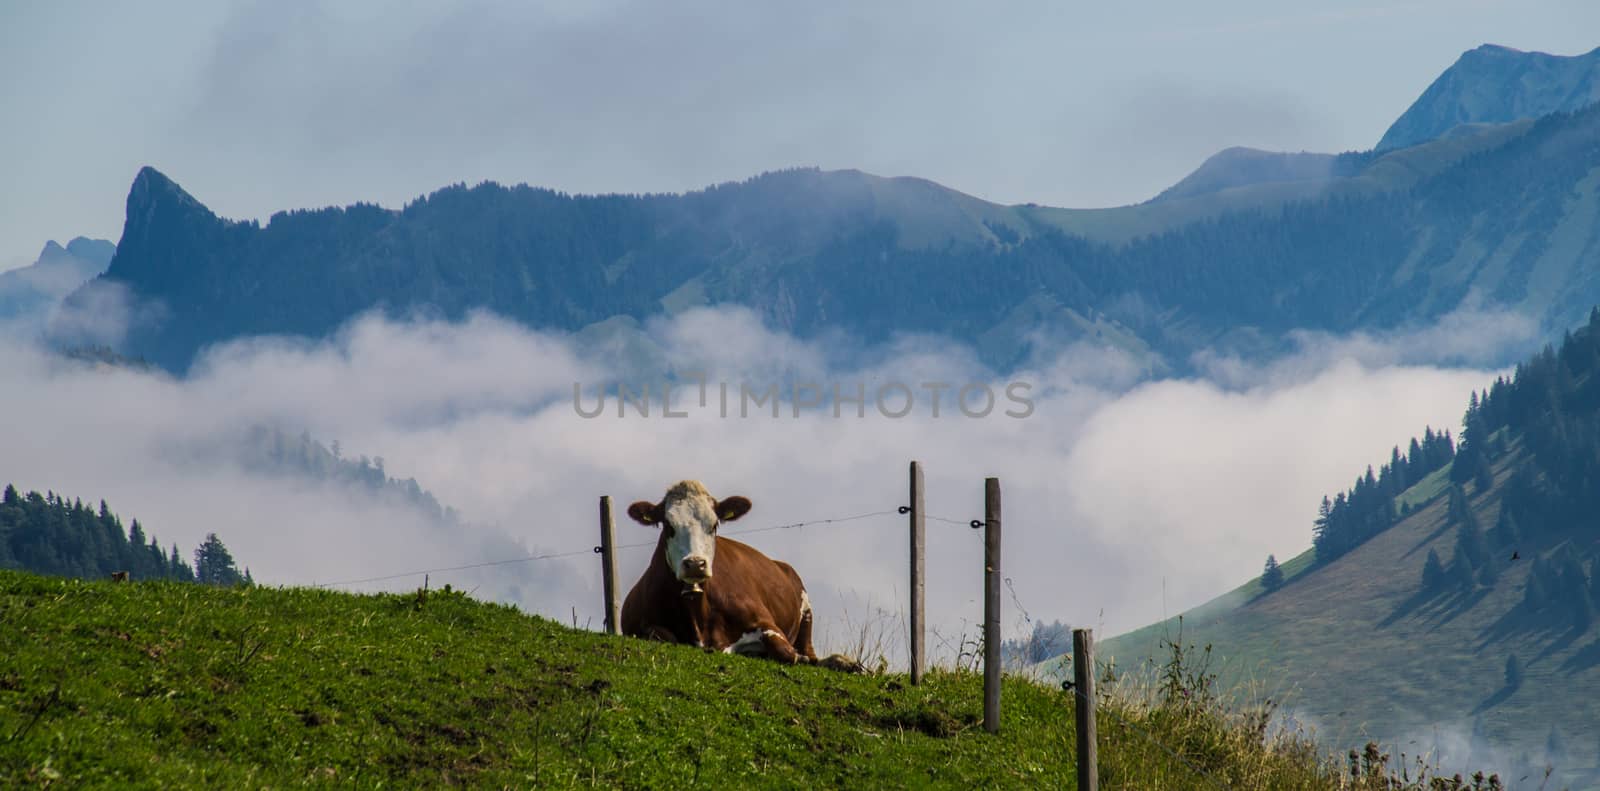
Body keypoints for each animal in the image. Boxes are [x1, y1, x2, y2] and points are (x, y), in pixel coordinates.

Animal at [614, 480, 864, 669]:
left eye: (714, 525)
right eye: (668, 525)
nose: (695, 564)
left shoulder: (765, 621)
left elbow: (787, 651)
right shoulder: (642, 625)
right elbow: (663, 636)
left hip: (806, 614)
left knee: (811, 655)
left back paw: (844, 663)